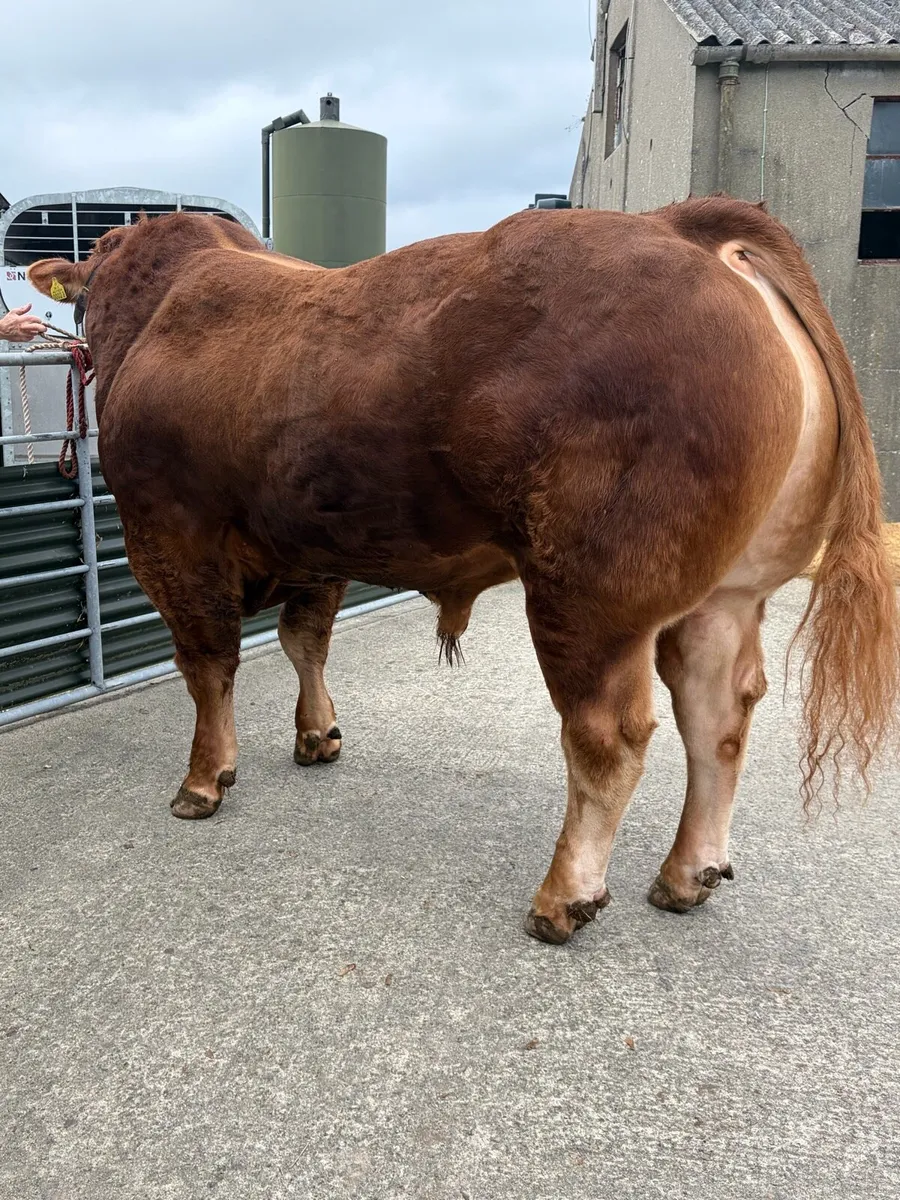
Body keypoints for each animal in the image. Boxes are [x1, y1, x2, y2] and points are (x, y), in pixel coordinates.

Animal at [28, 197, 899, 945]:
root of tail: (680, 225)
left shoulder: (170, 538)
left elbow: (209, 666)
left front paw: (204, 780)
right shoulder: (314, 544)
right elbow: (305, 641)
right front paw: (317, 735)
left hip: (589, 593)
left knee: (609, 734)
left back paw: (564, 897)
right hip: (726, 594)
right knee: (718, 717)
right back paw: (688, 874)